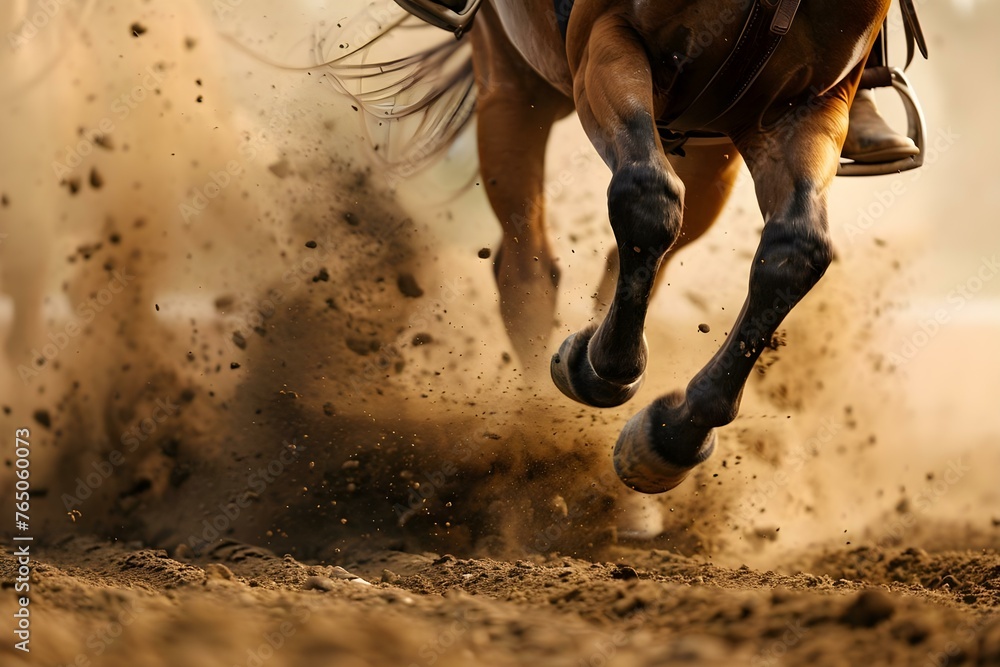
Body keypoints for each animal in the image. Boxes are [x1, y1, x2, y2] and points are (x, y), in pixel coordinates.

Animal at [458, 0, 891, 494]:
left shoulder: (810, 105)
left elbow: (796, 253)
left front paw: (675, 437)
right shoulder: (606, 36)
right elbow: (648, 193)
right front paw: (603, 368)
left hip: (711, 155)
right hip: (512, 84)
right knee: (525, 269)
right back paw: (528, 421)